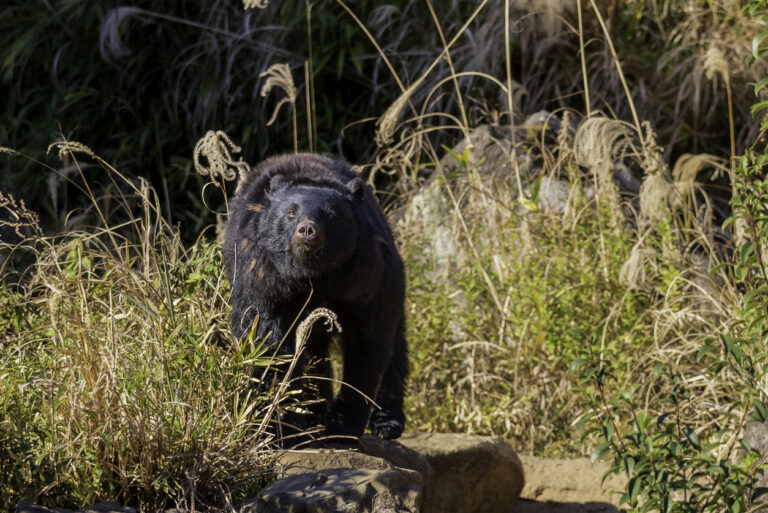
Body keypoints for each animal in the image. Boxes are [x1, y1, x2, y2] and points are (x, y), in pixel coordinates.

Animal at [223, 153, 408, 441]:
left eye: (332, 214)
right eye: (291, 212)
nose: (307, 230)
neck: (314, 277)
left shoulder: (367, 282)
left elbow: (368, 345)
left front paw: (343, 428)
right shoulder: (262, 278)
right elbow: (269, 343)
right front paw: (279, 423)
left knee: (395, 350)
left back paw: (387, 422)